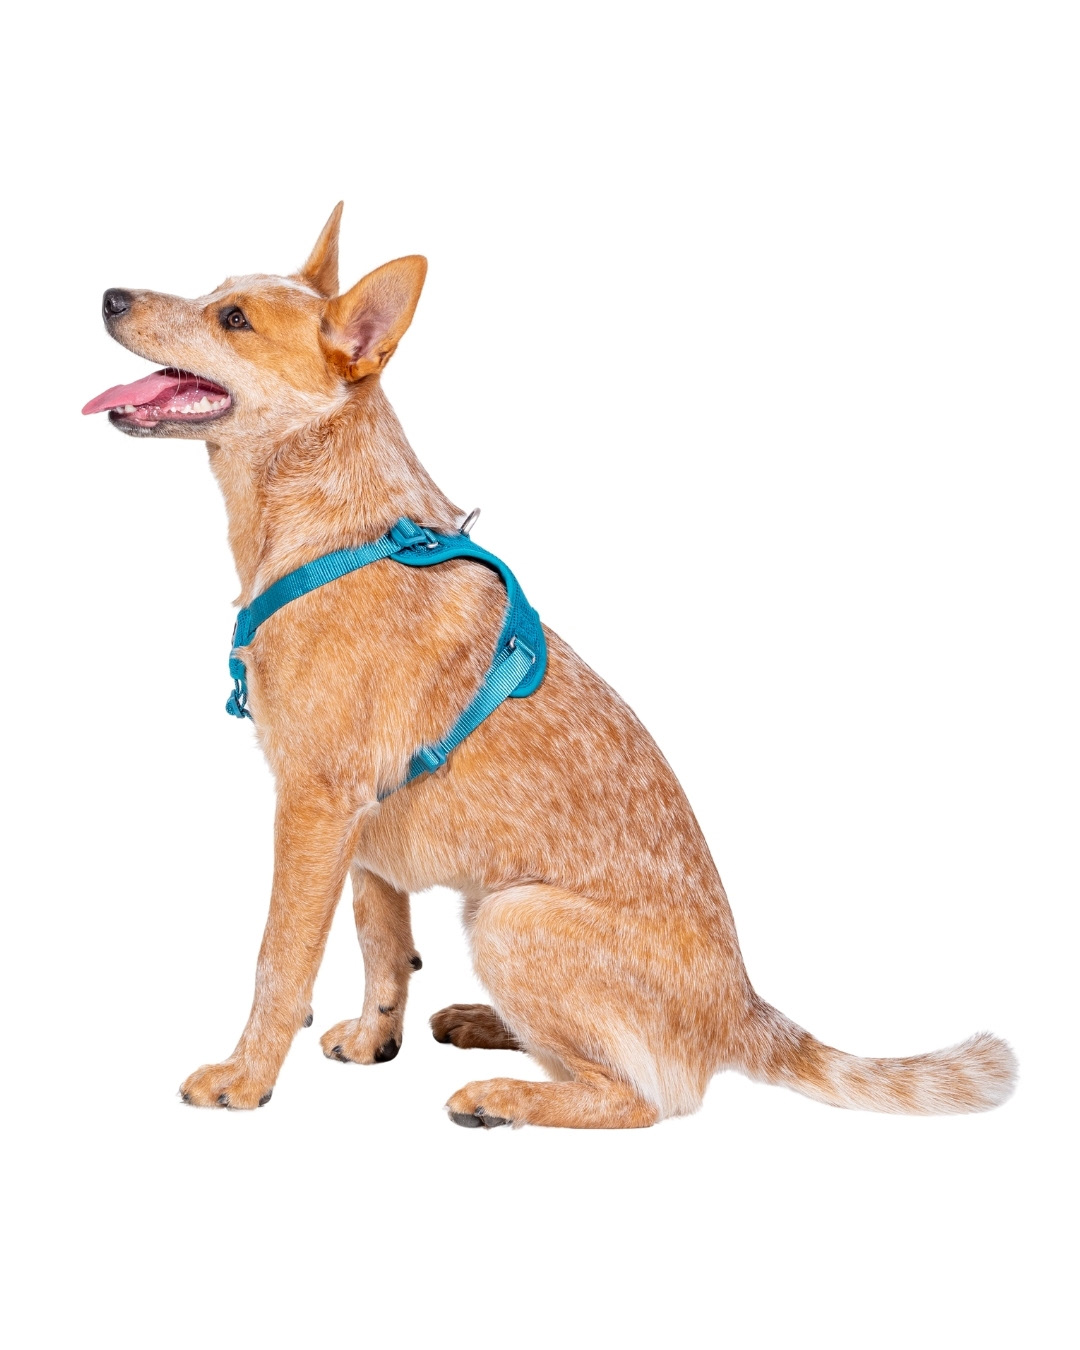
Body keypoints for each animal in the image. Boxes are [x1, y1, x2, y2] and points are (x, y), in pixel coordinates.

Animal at [83, 205, 1016, 1127]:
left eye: (233, 319)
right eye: (214, 289)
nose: (110, 295)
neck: (332, 529)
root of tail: (747, 1015)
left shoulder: (315, 803)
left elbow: (280, 960)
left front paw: (245, 1077)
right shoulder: (361, 833)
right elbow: (382, 943)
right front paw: (375, 1037)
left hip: (509, 915)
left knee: (647, 1098)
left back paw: (503, 1094)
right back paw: (483, 1026)